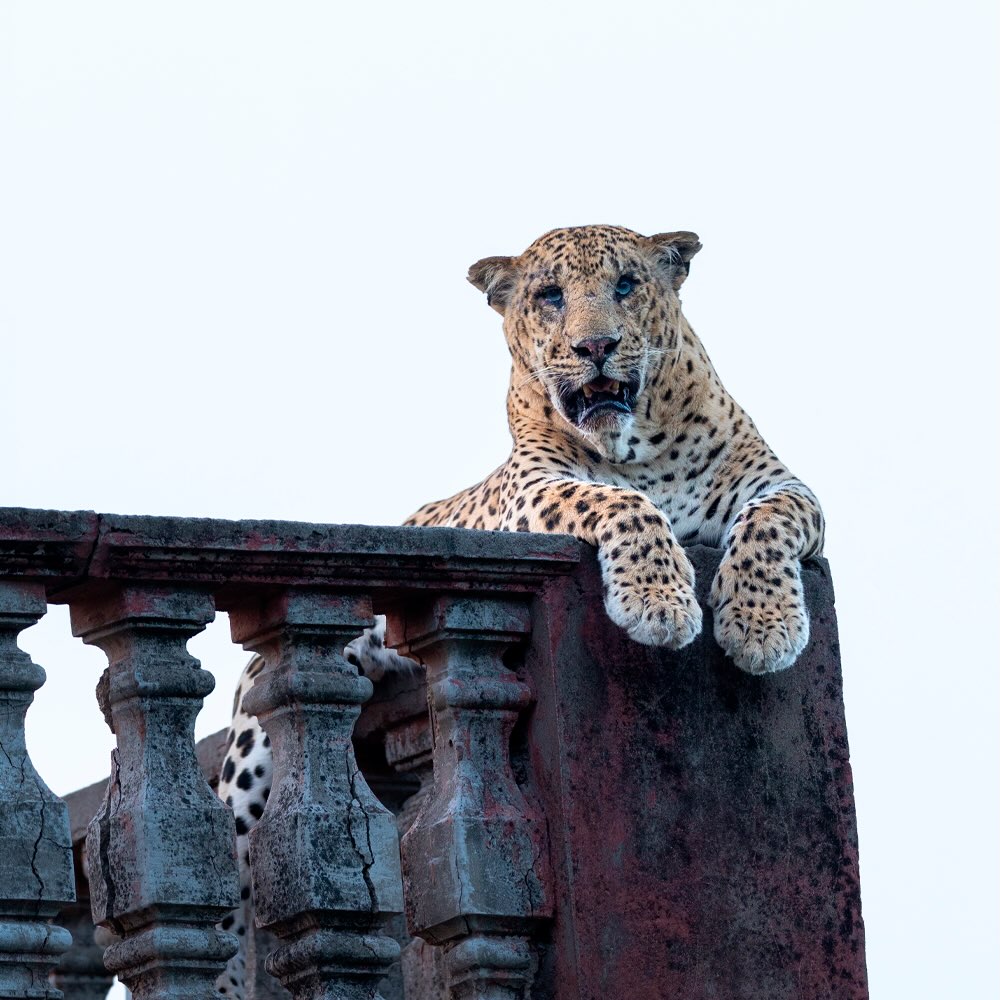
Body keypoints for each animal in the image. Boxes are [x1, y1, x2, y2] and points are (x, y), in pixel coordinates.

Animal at [214, 224, 825, 997]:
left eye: (627, 285)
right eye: (550, 296)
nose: (595, 345)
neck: (640, 450)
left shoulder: (785, 486)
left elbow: (768, 524)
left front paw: (761, 625)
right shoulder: (534, 492)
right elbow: (622, 503)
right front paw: (658, 603)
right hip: (251, 755)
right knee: (229, 880)